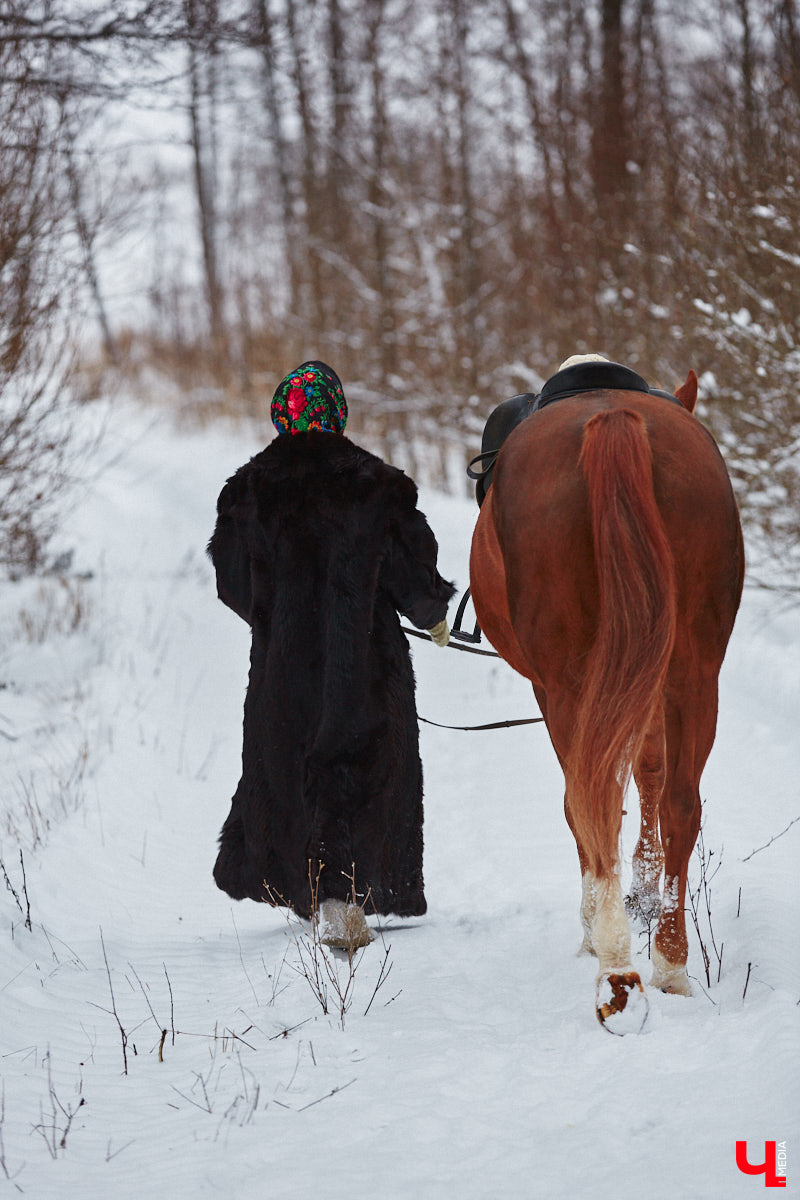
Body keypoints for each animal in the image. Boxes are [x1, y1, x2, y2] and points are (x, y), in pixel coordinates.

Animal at [470, 367, 743, 1032]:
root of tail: (612, 422)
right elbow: (649, 771)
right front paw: (642, 885)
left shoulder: (557, 688)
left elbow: (585, 803)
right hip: (694, 666)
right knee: (679, 802)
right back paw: (670, 963)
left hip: (570, 682)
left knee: (589, 798)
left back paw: (615, 965)